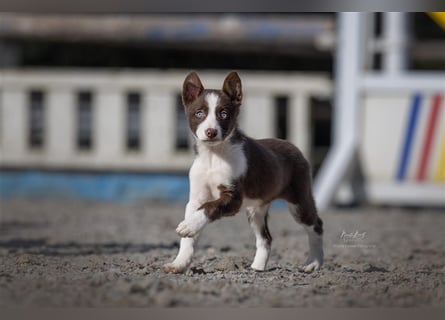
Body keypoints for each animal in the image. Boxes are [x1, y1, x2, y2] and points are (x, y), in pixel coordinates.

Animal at [163, 71, 322, 274]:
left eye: (224, 114)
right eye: (199, 113)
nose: (211, 132)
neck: (213, 155)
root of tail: (293, 146)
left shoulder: (233, 197)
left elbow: (209, 207)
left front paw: (188, 226)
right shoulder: (196, 199)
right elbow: (190, 233)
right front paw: (179, 263)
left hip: (299, 201)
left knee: (316, 225)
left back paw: (314, 262)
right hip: (256, 209)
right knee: (265, 238)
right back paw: (257, 268)